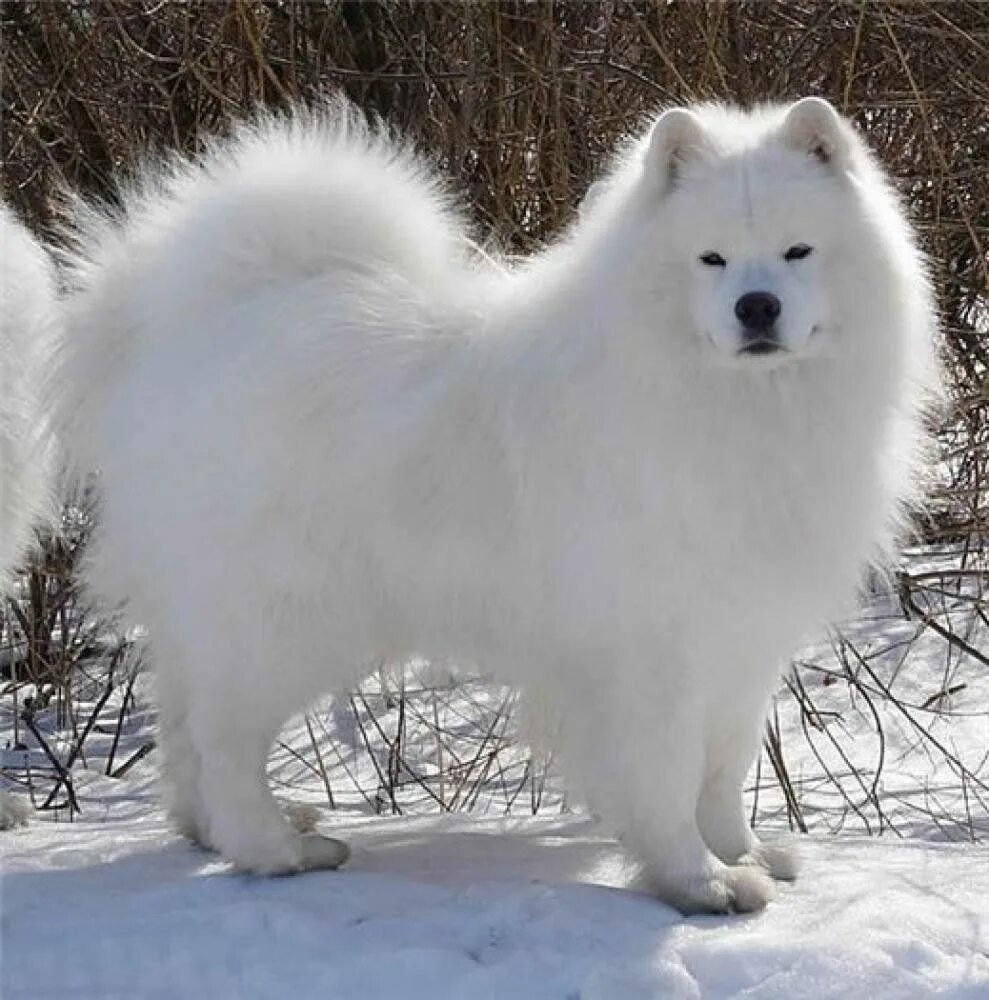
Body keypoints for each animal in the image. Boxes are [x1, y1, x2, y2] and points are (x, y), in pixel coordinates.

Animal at [59, 99, 940, 916]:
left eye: (797, 251)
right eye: (711, 259)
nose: (755, 306)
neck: (736, 404)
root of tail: (195, 322)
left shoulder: (740, 639)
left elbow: (722, 772)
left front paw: (743, 854)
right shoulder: (648, 649)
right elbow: (666, 775)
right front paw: (698, 882)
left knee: (182, 728)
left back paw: (217, 833)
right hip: (289, 620)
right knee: (223, 742)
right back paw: (275, 848)